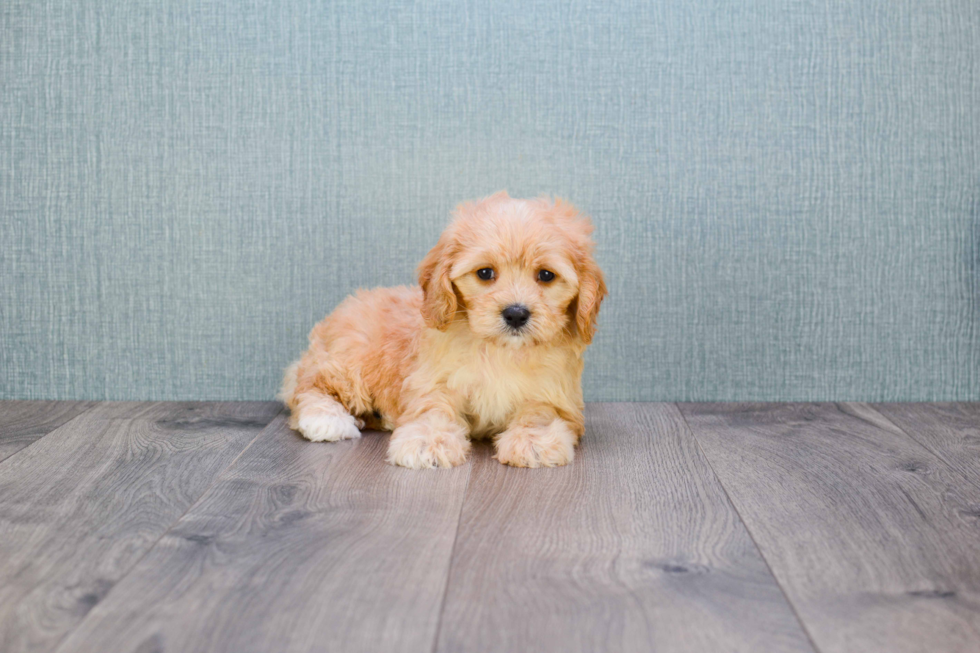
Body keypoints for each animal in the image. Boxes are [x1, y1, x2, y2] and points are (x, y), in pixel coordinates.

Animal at [276, 191, 608, 466]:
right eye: (485, 273)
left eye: (546, 275)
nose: (515, 314)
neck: (499, 350)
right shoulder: (432, 379)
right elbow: (433, 409)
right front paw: (429, 441)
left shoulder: (556, 394)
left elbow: (540, 412)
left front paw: (534, 440)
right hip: (348, 362)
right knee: (308, 384)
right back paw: (326, 418)